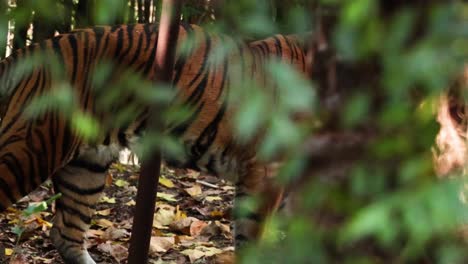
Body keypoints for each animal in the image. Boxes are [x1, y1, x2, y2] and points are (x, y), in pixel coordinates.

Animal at [0, 23, 310, 262]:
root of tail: (29, 51)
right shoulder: (267, 171)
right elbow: (253, 238)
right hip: (29, 151)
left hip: (85, 168)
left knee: (66, 234)